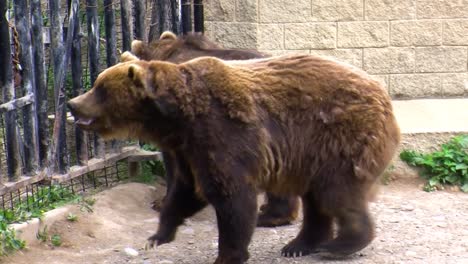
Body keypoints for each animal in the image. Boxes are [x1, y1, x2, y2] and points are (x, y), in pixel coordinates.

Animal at [68, 52, 402, 262]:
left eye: (99, 88)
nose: (73, 103)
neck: (177, 118)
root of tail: (381, 90)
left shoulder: (223, 134)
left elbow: (232, 198)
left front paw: (227, 255)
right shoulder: (190, 150)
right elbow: (186, 191)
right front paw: (158, 235)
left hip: (339, 137)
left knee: (336, 192)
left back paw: (341, 243)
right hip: (312, 154)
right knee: (317, 198)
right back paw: (299, 245)